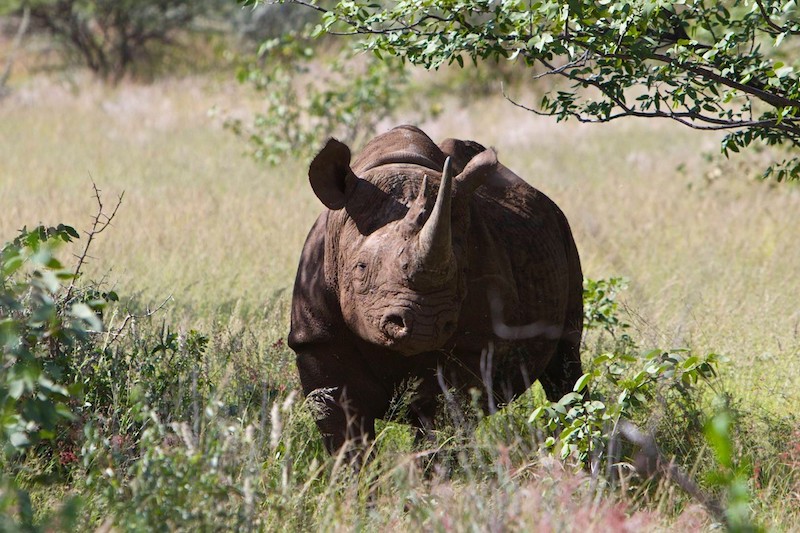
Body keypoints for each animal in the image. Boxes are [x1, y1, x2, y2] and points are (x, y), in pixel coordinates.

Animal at [289, 125, 583, 455]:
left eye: (461, 272)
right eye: (361, 268)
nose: (423, 326)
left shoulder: (470, 347)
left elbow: (441, 425)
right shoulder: (316, 339)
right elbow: (343, 433)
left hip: (563, 233)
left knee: (565, 364)